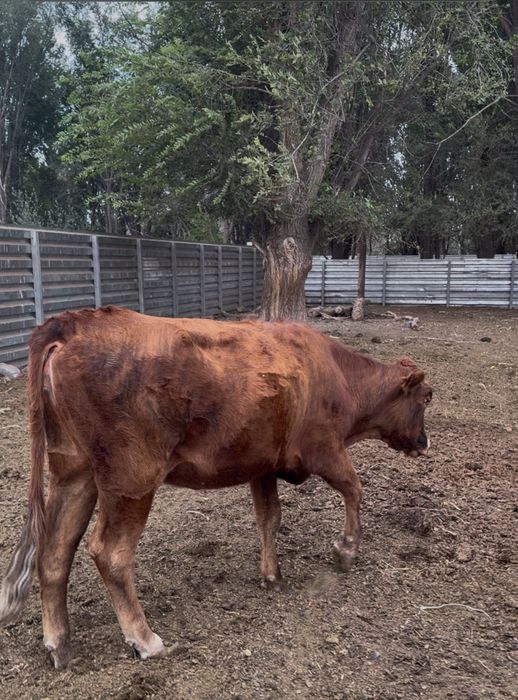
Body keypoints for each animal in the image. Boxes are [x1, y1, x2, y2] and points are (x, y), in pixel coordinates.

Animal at [0, 306, 432, 668]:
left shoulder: (263, 465)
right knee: (110, 552)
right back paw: (145, 639)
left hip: (74, 472)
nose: (424, 442)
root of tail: (74, 322)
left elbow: (270, 518)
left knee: (55, 552)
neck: (335, 372)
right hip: (131, 481)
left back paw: (59, 645)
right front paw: (346, 550)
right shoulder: (324, 449)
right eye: (427, 398)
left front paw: (271, 574)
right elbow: (354, 489)